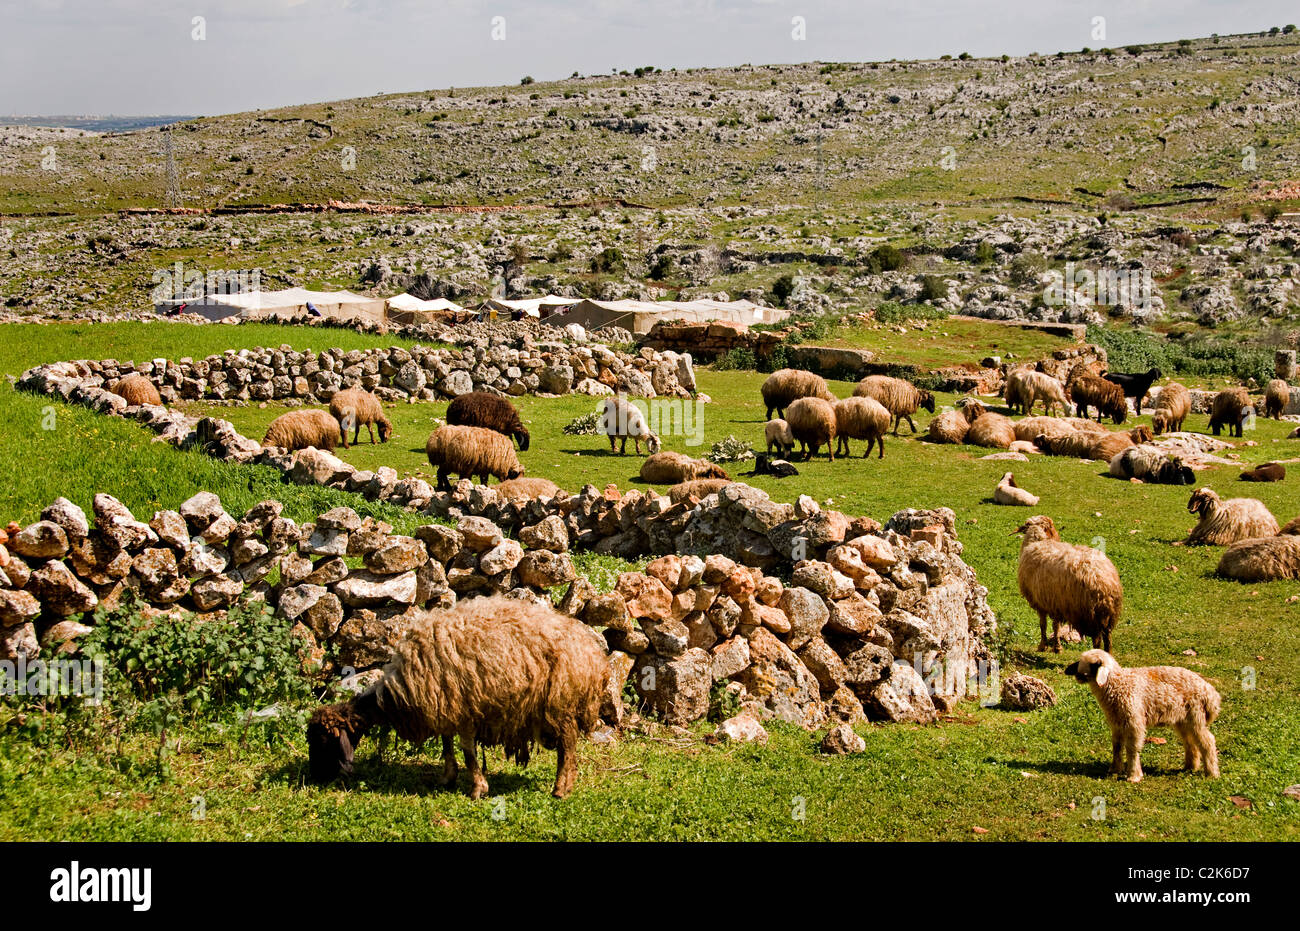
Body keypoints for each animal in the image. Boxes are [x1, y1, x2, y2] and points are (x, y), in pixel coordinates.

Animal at [306, 592, 611, 795]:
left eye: (322, 741)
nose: (314, 778)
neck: (396, 694)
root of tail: (594, 655)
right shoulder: (445, 706)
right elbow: (447, 744)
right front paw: (448, 777)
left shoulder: (463, 708)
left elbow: (468, 751)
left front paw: (477, 788)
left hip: (561, 703)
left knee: (567, 747)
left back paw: (560, 789)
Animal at [1008, 517, 1123, 655]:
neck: (1037, 540)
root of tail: (1104, 583)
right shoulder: (1055, 602)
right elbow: (1056, 626)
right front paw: (1057, 647)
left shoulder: (1040, 602)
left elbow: (1043, 624)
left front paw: (1042, 646)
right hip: (1109, 617)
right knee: (1108, 640)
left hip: (1091, 617)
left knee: (1097, 641)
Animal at [1066, 650, 1216, 780]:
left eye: (1092, 664)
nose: (1069, 671)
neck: (1119, 684)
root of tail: (1210, 692)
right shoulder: (1117, 723)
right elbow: (1117, 746)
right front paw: (1114, 769)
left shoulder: (1134, 722)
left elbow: (1132, 748)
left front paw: (1134, 775)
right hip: (1182, 719)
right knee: (1190, 741)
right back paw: (1190, 767)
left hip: (1196, 716)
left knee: (1207, 741)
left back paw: (1212, 773)